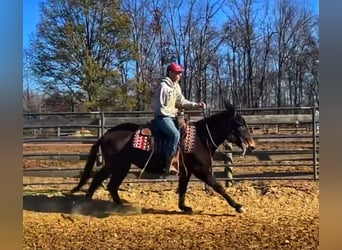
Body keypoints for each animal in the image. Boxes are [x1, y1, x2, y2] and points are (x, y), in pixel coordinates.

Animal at [71, 102, 254, 214]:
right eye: (239, 124)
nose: (252, 145)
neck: (201, 138)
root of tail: (105, 135)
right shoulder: (201, 170)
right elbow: (219, 187)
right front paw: (239, 207)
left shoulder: (187, 171)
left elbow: (183, 188)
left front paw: (184, 207)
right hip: (119, 166)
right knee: (107, 183)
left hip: (115, 166)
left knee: (103, 182)